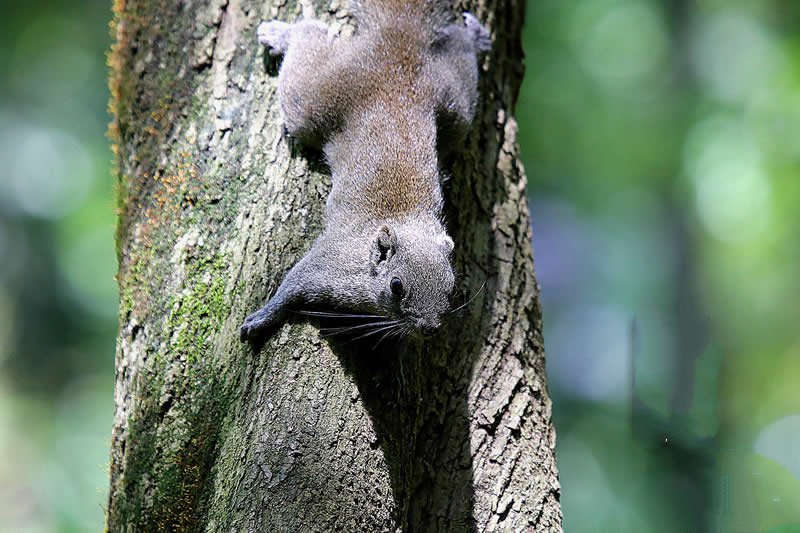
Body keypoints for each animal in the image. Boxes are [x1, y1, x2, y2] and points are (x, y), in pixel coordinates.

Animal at [239, 0, 488, 340]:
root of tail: (395, 48)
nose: (429, 328)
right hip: (318, 97)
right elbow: (292, 284)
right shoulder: (330, 266)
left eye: (450, 288)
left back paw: (475, 35)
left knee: (461, 52)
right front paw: (262, 317)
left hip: (453, 100)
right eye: (397, 286)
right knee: (306, 44)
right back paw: (279, 33)